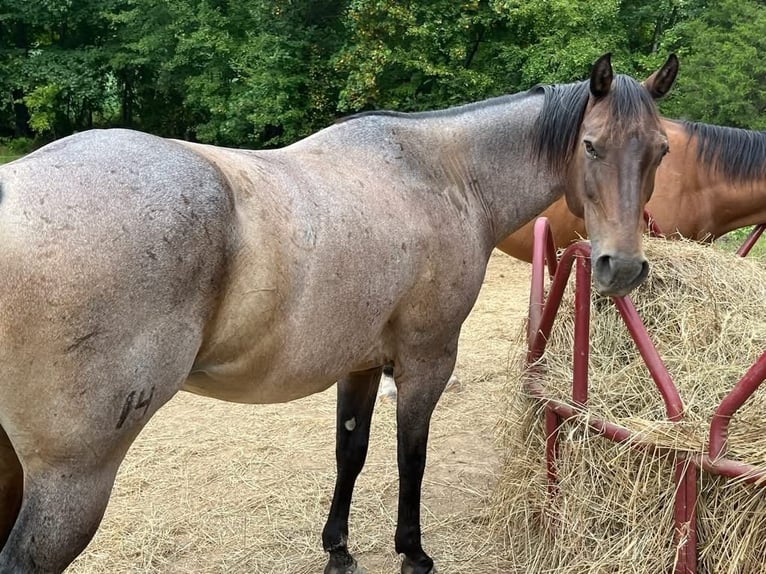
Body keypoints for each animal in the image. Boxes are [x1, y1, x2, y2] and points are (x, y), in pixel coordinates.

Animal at [0, 54, 676, 574]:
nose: (622, 267)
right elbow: (410, 453)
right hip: (74, 480)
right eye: (591, 146)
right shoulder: (426, 360)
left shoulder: (359, 364)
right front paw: (413, 553)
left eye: (661, 152)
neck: (442, 175)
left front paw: (339, 550)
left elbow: (350, 452)